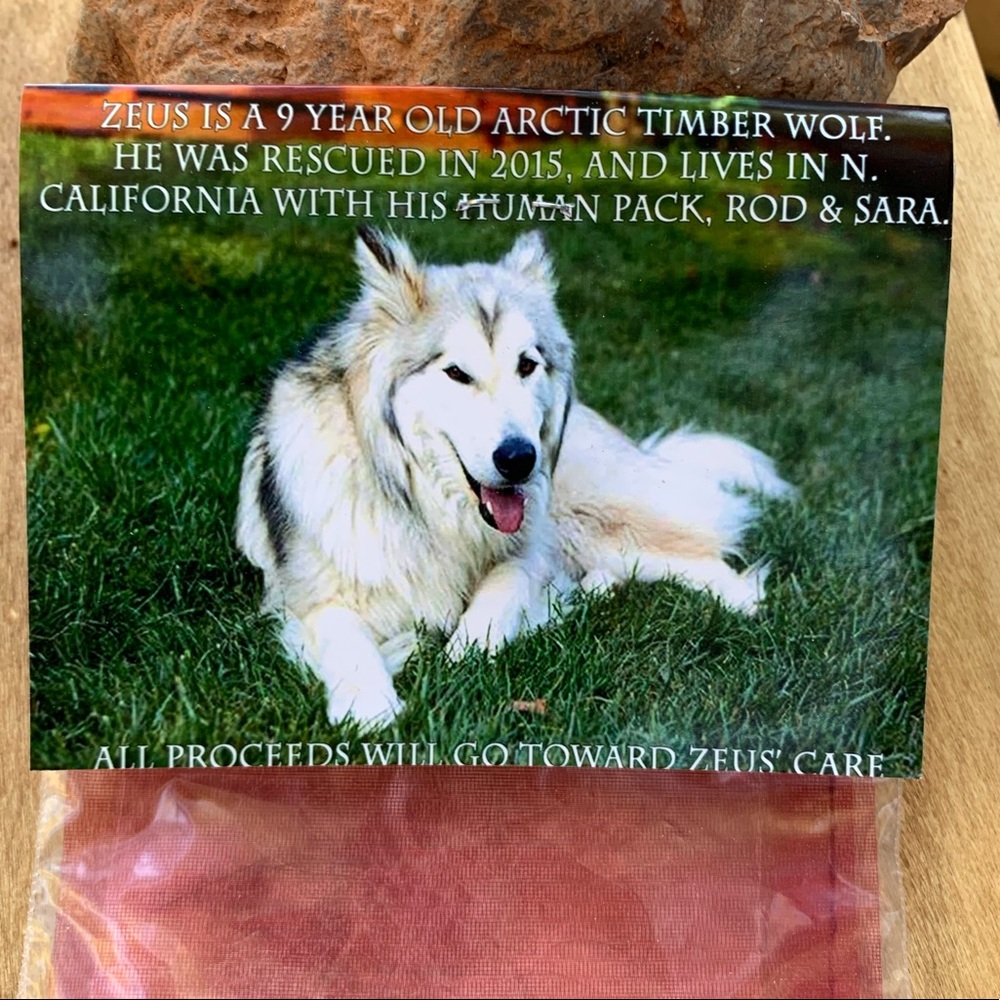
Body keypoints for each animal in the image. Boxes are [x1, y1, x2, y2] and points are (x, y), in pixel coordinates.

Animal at [236, 227, 793, 726]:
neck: (426, 503)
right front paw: (369, 705)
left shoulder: (527, 550)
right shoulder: (311, 596)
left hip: (592, 521)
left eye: (527, 365)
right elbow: (346, 641)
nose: (519, 459)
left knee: (703, 558)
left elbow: (496, 598)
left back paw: (745, 603)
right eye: (456, 373)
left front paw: (460, 657)